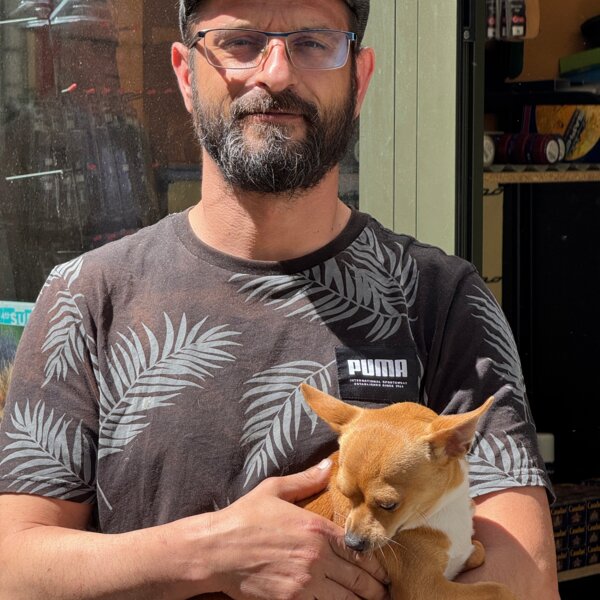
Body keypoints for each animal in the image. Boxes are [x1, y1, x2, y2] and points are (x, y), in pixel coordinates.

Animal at [300, 383, 517, 600]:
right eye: (343, 494)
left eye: (389, 505)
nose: (351, 543)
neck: (444, 509)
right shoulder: (426, 590)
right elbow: (498, 589)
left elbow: (478, 551)